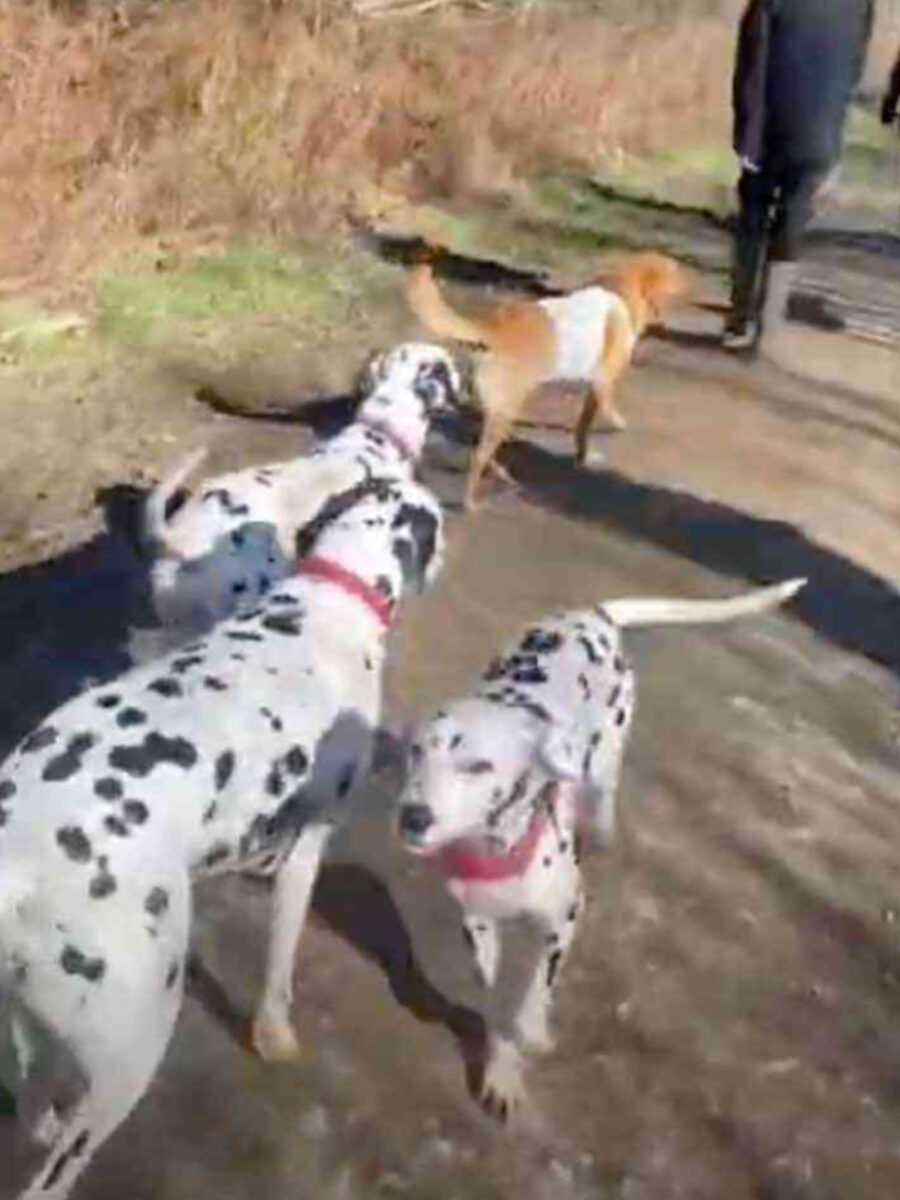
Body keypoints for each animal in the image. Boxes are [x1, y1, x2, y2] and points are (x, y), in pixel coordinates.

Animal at [0, 470, 448, 1200]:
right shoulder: (308, 847)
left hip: (28, 1022)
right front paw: (274, 1034)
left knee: (31, 1091)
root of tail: (21, 869)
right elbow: (280, 966)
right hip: (131, 1055)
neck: (324, 602)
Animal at [398, 576, 806, 1118]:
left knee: (604, 790)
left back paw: (602, 829)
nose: (412, 816)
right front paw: (502, 1070)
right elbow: (497, 1002)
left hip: (607, 756)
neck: (499, 848)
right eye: (416, 752)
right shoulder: (478, 930)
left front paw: (533, 1027)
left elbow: (535, 989)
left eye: (478, 766)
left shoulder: (564, 918)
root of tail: (594, 615)